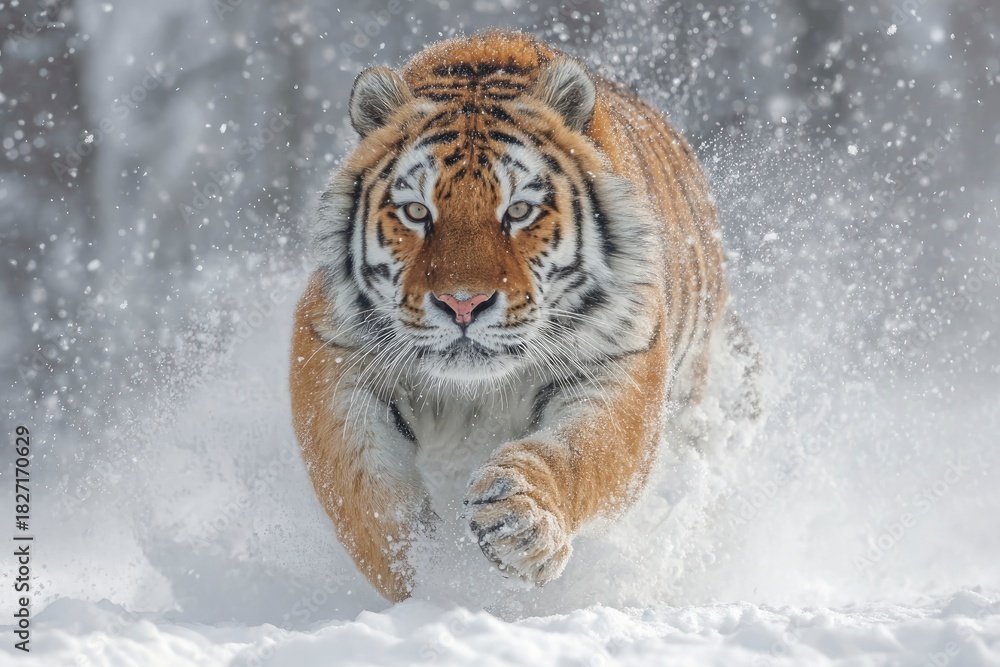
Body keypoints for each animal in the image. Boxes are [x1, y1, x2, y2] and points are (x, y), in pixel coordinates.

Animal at [289, 30, 758, 602]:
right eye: (417, 212)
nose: (462, 304)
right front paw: (433, 578)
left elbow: (582, 454)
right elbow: (365, 495)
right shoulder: (334, 352)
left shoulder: (620, 361)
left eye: (518, 211)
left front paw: (520, 519)